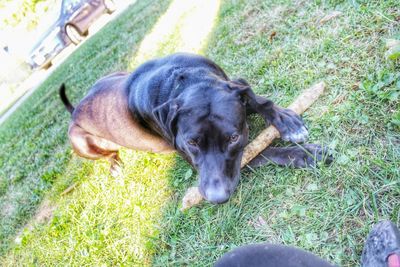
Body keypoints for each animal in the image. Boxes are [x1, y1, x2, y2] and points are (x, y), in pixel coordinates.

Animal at [59, 53, 328, 204]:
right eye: (191, 143)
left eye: (233, 137)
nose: (216, 197)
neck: (187, 80)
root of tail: (76, 108)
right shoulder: (185, 152)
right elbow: (259, 152)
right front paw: (304, 154)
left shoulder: (235, 88)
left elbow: (261, 101)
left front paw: (287, 121)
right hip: (79, 141)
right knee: (107, 153)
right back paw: (114, 165)